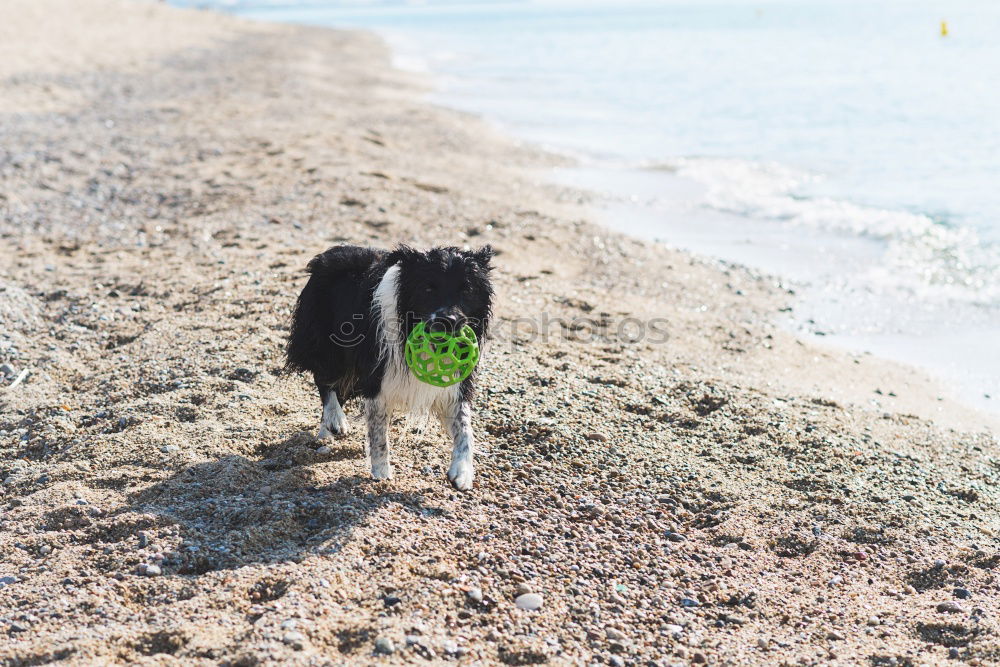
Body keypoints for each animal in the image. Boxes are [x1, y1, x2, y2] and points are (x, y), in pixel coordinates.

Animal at [284, 245, 494, 490]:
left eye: (467, 289)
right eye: (428, 288)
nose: (448, 321)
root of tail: (332, 252)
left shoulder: (455, 385)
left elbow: (465, 430)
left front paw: (462, 472)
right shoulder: (377, 380)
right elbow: (379, 435)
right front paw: (381, 473)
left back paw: (326, 430)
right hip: (329, 347)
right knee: (324, 379)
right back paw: (334, 419)